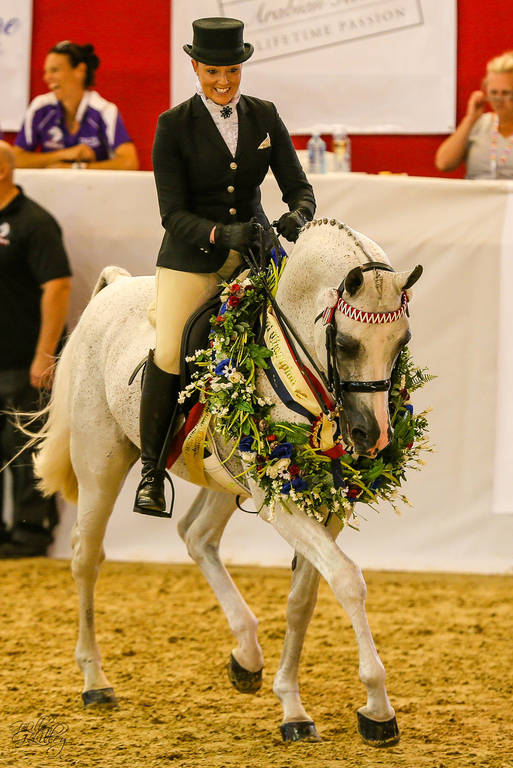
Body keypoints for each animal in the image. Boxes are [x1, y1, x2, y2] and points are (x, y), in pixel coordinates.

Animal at [32, 218, 422, 746]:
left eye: (401, 342)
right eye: (346, 345)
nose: (372, 436)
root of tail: (114, 288)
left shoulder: (328, 501)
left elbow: (304, 597)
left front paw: (293, 707)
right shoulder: (280, 500)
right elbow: (346, 579)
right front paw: (378, 707)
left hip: (224, 474)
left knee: (196, 536)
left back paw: (247, 657)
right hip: (100, 461)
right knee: (86, 558)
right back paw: (95, 682)